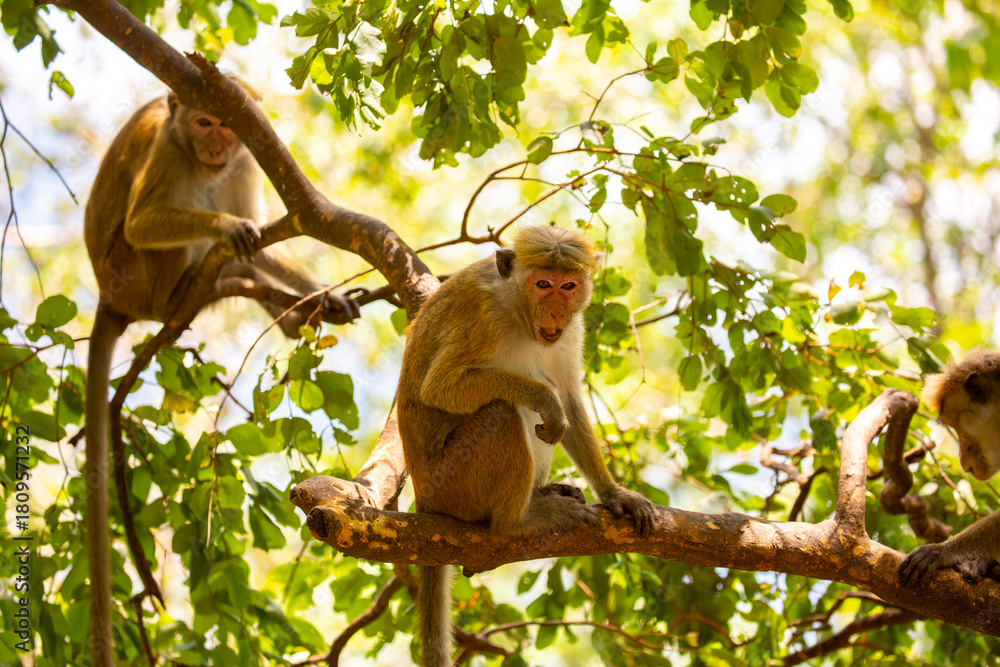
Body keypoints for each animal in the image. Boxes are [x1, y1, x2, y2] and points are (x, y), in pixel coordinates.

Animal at [83, 84, 358, 664]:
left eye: (226, 127)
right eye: (202, 122)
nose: (214, 147)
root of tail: (108, 298)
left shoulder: (245, 162)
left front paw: (319, 290)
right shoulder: (169, 151)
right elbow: (146, 222)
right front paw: (228, 229)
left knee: (236, 261)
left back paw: (290, 309)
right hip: (134, 275)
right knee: (182, 245)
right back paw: (190, 288)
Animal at [397, 224, 656, 667]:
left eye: (568, 286)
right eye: (543, 285)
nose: (554, 313)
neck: (516, 307)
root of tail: (425, 498)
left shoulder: (572, 330)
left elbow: (570, 400)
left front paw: (616, 494)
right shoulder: (481, 318)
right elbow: (442, 389)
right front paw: (545, 399)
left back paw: (542, 493)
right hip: (456, 483)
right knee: (503, 411)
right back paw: (518, 522)